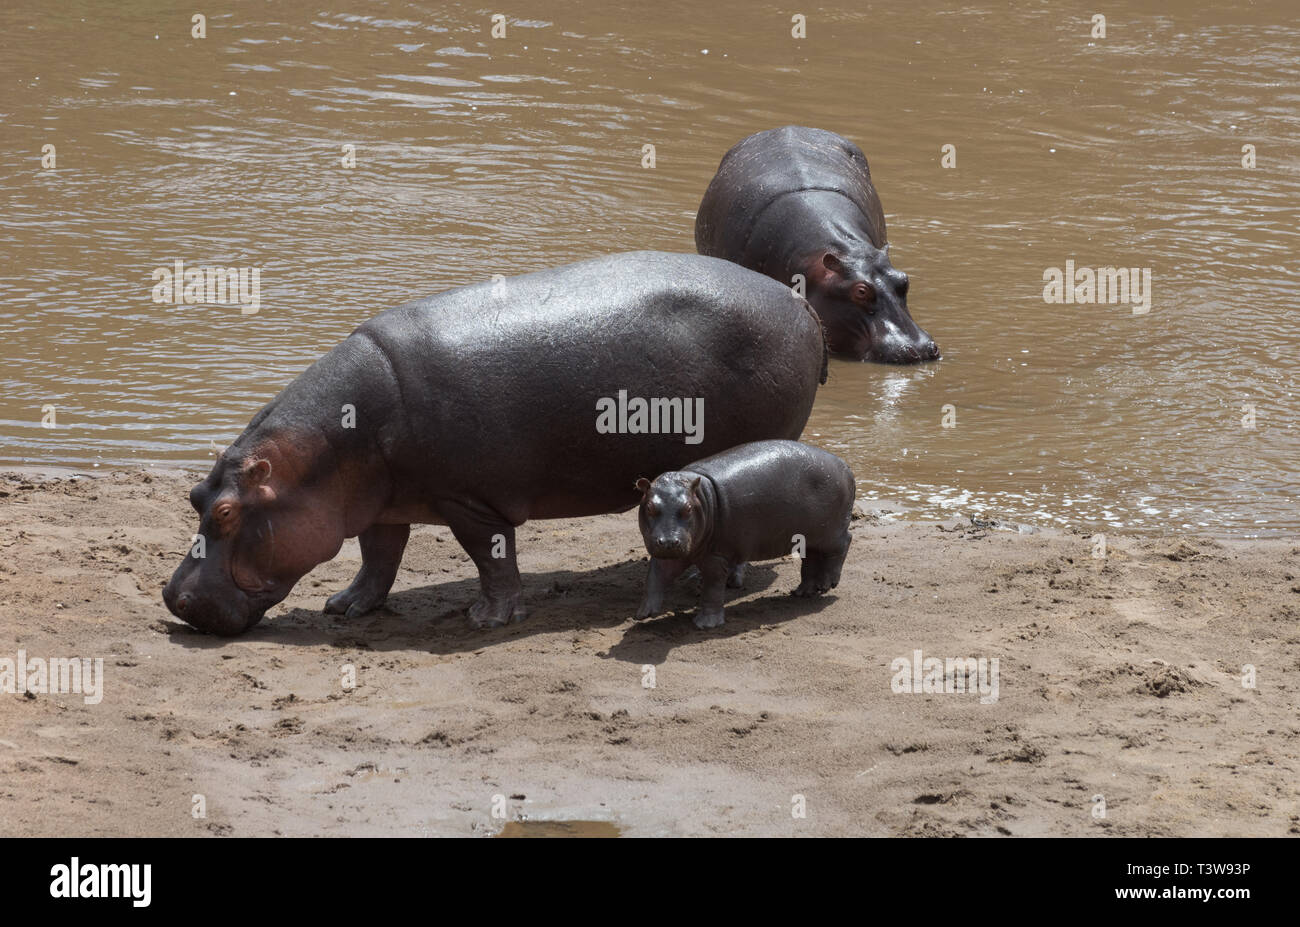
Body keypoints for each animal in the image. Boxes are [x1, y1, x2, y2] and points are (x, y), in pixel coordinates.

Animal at [165, 249, 821, 631]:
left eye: (226, 512)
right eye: (195, 497)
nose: (173, 599)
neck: (324, 452)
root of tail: (801, 305)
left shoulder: (469, 500)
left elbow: (490, 556)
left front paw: (488, 618)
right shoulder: (382, 498)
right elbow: (379, 556)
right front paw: (346, 607)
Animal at [637, 439, 857, 629]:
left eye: (688, 508)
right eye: (649, 507)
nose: (668, 541)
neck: (703, 497)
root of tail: (846, 466)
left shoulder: (716, 557)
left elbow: (712, 588)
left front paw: (705, 624)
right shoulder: (672, 549)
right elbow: (656, 574)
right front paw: (644, 613)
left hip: (830, 533)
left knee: (842, 545)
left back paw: (829, 583)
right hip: (809, 537)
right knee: (811, 559)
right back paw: (802, 592)